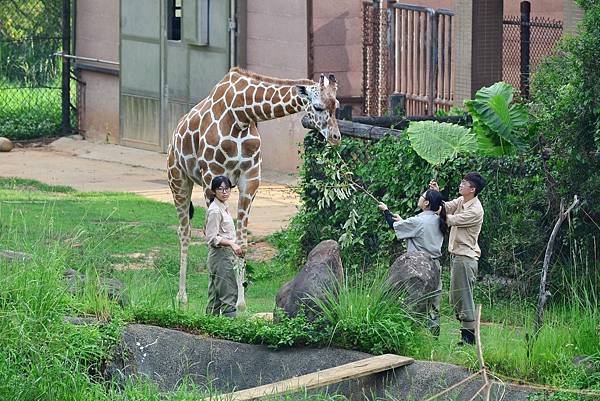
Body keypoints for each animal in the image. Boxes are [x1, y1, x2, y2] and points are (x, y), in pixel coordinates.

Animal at [168, 68, 342, 306]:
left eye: (337, 105)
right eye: (317, 107)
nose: (336, 137)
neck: (241, 115)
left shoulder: (249, 181)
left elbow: (241, 241)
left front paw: (240, 302)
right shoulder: (211, 176)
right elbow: (212, 236)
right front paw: (213, 299)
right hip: (178, 179)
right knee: (184, 231)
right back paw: (182, 296)